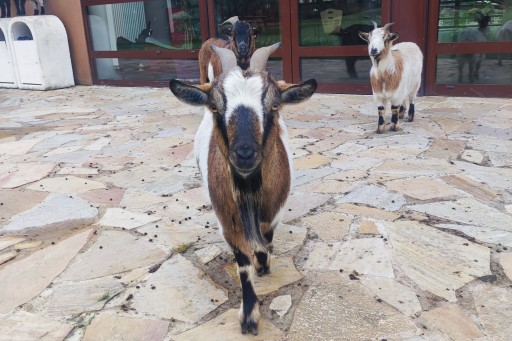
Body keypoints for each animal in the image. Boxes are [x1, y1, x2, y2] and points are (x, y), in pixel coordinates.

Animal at [170, 43, 318, 334]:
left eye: (274, 105)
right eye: (215, 107)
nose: (245, 153)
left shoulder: (274, 212)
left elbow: (265, 242)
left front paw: (264, 265)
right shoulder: (229, 220)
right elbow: (243, 265)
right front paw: (249, 316)